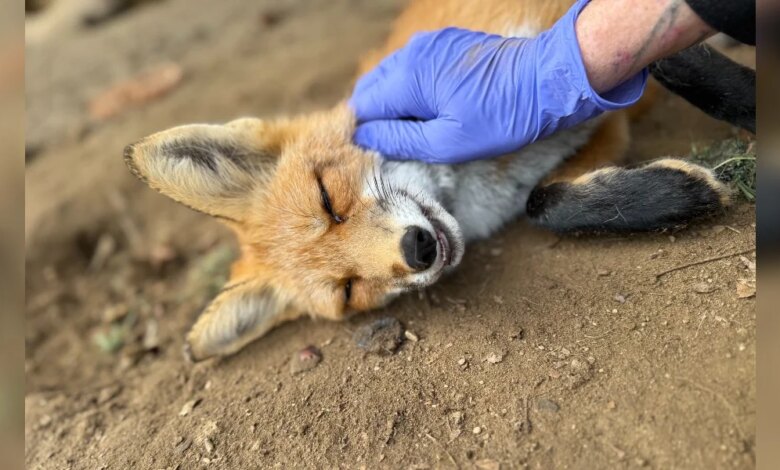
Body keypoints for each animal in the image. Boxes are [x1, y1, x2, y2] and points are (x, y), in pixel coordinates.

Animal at [123, 0, 729, 362]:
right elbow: (545, 200)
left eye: (327, 197)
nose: (416, 250)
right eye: (349, 290)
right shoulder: (595, 114)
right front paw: (675, 195)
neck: (473, 180)